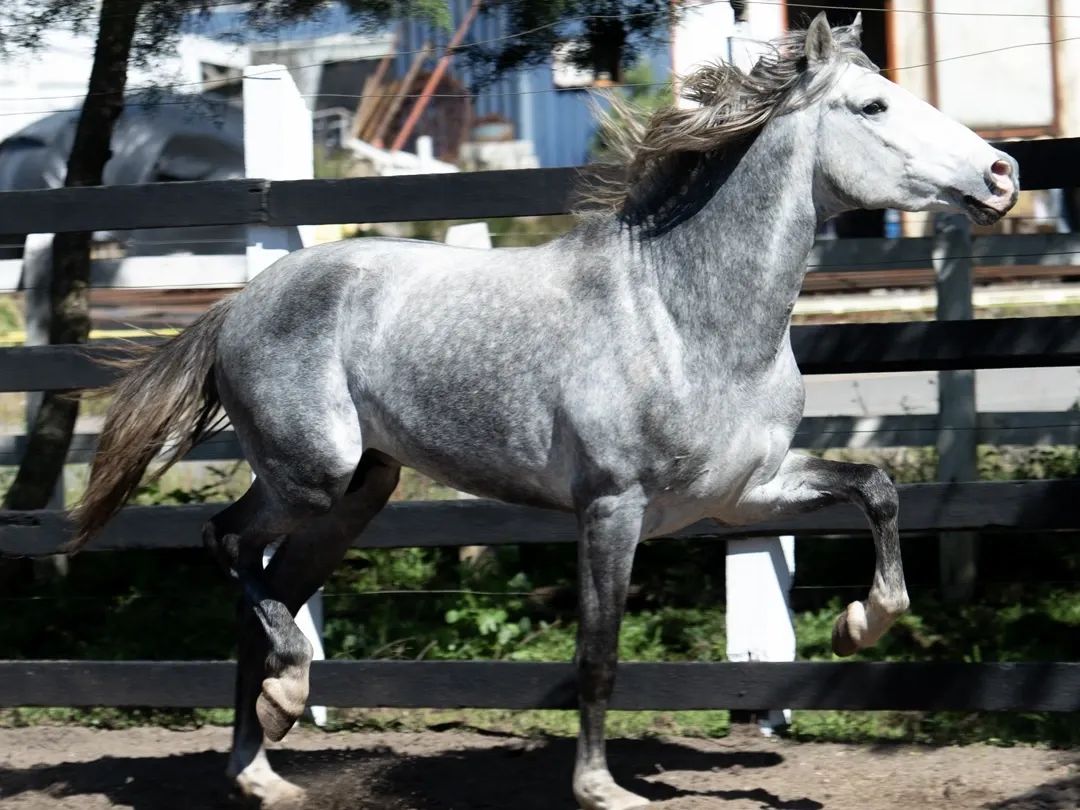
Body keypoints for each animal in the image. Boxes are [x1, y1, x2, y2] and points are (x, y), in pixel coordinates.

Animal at [68, 14, 1018, 810]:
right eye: (873, 104)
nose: (1003, 174)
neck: (684, 316)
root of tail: (240, 301)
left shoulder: (745, 496)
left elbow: (878, 486)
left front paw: (862, 625)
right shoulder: (612, 508)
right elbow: (598, 653)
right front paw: (602, 790)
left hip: (356, 496)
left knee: (265, 596)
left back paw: (264, 764)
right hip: (311, 475)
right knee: (229, 548)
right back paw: (286, 700)